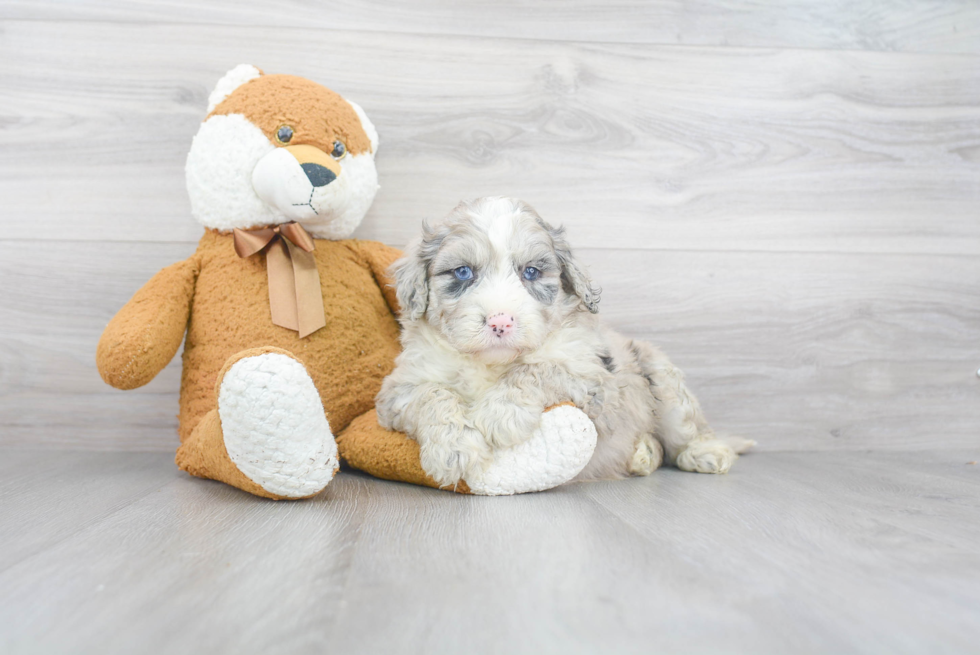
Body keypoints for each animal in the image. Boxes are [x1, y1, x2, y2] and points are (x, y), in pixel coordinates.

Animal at [378, 195, 756, 486]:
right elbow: (432, 394)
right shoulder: (398, 389)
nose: (501, 321)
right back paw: (644, 454)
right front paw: (453, 448)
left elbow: (538, 368)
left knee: (686, 432)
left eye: (531, 272)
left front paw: (501, 413)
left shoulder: (594, 379)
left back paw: (706, 453)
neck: (492, 364)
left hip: (661, 377)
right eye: (462, 272)